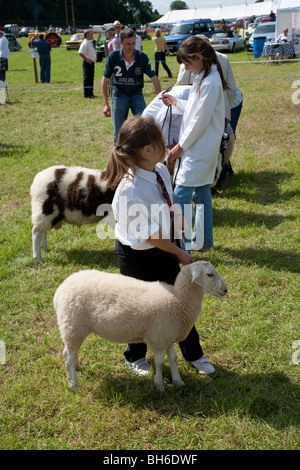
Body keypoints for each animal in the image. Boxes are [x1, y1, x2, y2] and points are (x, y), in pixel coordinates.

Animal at [54, 260, 227, 392]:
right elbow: (160, 363)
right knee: (67, 356)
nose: (225, 290)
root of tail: (60, 290)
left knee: (71, 353)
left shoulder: (168, 336)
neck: (177, 300)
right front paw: (159, 386)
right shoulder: (158, 338)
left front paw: (178, 381)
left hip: (76, 329)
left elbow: (173, 358)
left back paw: (77, 368)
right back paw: (73, 385)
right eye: (210, 274)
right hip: (72, 326)